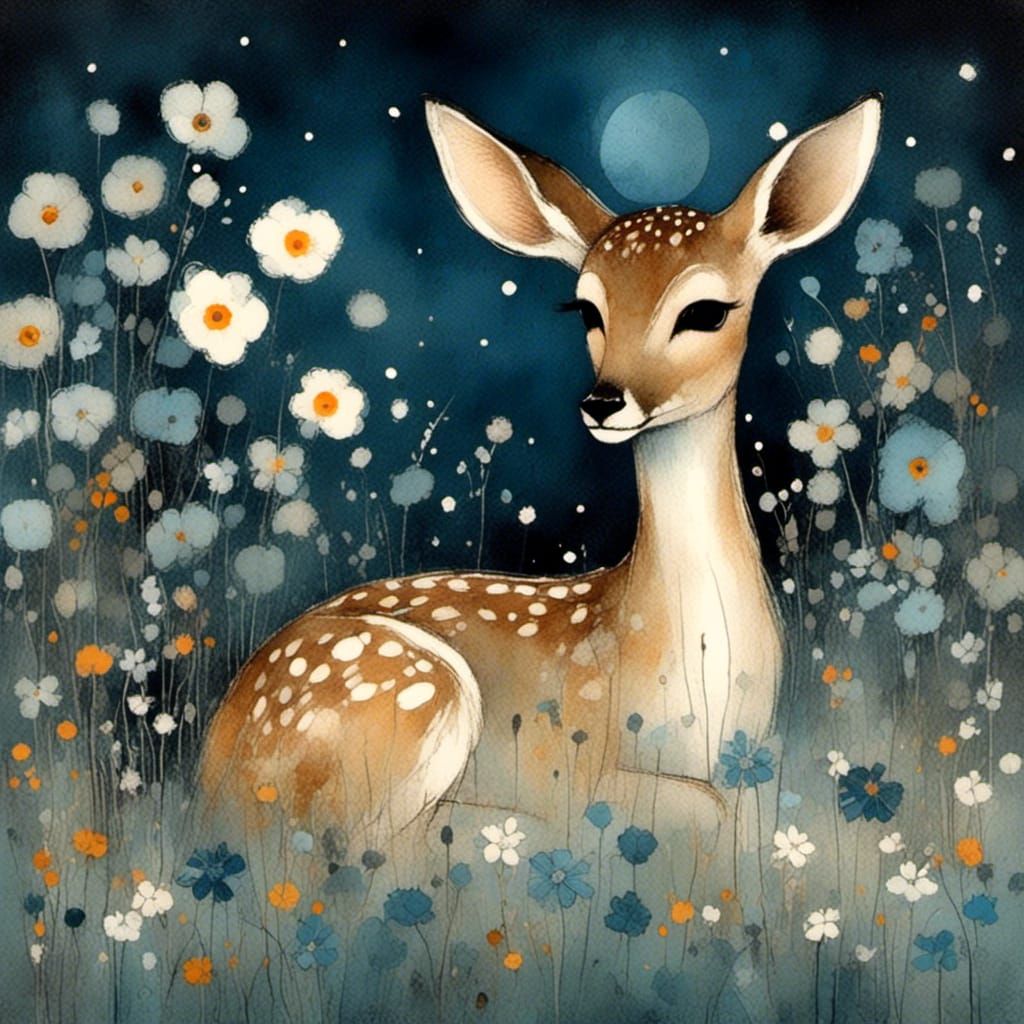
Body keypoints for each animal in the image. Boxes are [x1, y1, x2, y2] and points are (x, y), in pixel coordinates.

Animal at [198, 93, 882, 853]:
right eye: (586, 308)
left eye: (706, 311)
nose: (603, 401)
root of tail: (207, 781)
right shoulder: (572, 764)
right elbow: (699, 812)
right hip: (408, 696)